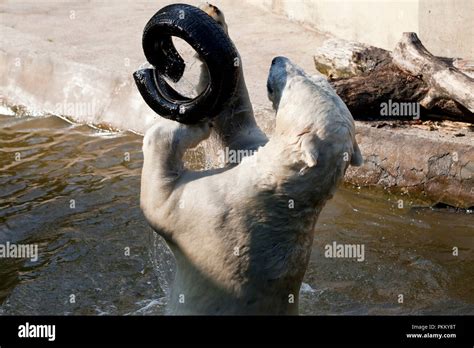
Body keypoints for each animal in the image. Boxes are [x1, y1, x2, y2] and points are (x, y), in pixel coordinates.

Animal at [141, 52, 362, 316]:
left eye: (298, 81)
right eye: (317, 78)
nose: (277, 59)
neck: (278, 190)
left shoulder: (214, 212)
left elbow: (158, 202)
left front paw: (186, 125)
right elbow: (239, 128)